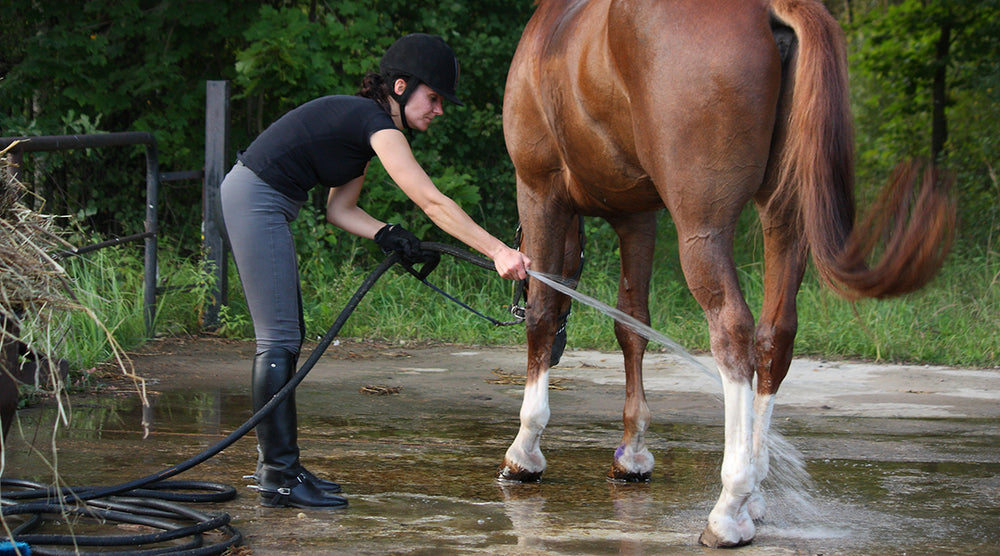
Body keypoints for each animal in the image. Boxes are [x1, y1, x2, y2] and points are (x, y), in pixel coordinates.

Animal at [500, 0, 952, 548]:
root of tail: (767, 10)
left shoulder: (539, 189)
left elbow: (544, 315)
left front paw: (525, 450)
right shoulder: (637, 215)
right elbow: (632, 324)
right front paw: (632, 453)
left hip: (702, 227)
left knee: (733, 332)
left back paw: (729, 507)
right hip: (784, 216)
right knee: (775, 337)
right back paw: (753, 492)